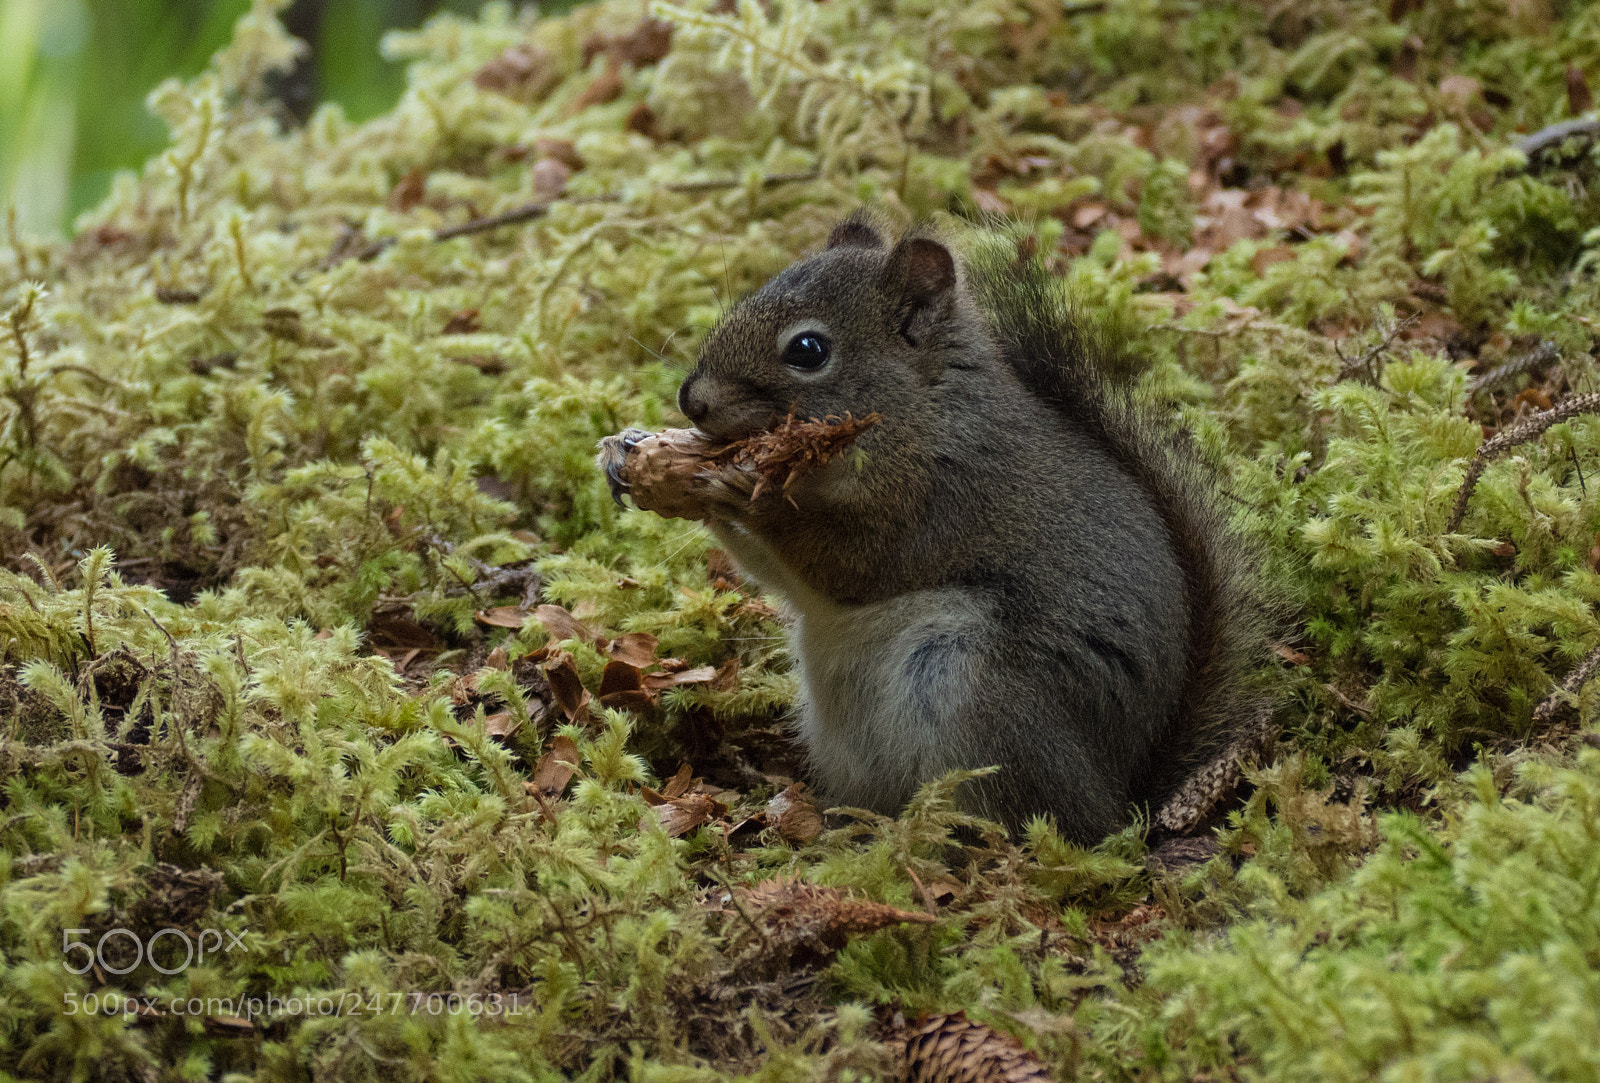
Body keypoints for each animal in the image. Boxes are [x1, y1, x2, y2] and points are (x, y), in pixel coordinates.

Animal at [670, 213, 1273, 843]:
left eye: (808, 350)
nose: (691, 400)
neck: (921, 415)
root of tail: (1124, 802)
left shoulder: (945, 501)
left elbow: (847, 565)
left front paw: (740, 494)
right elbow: (783, 578)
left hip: (980, 697)